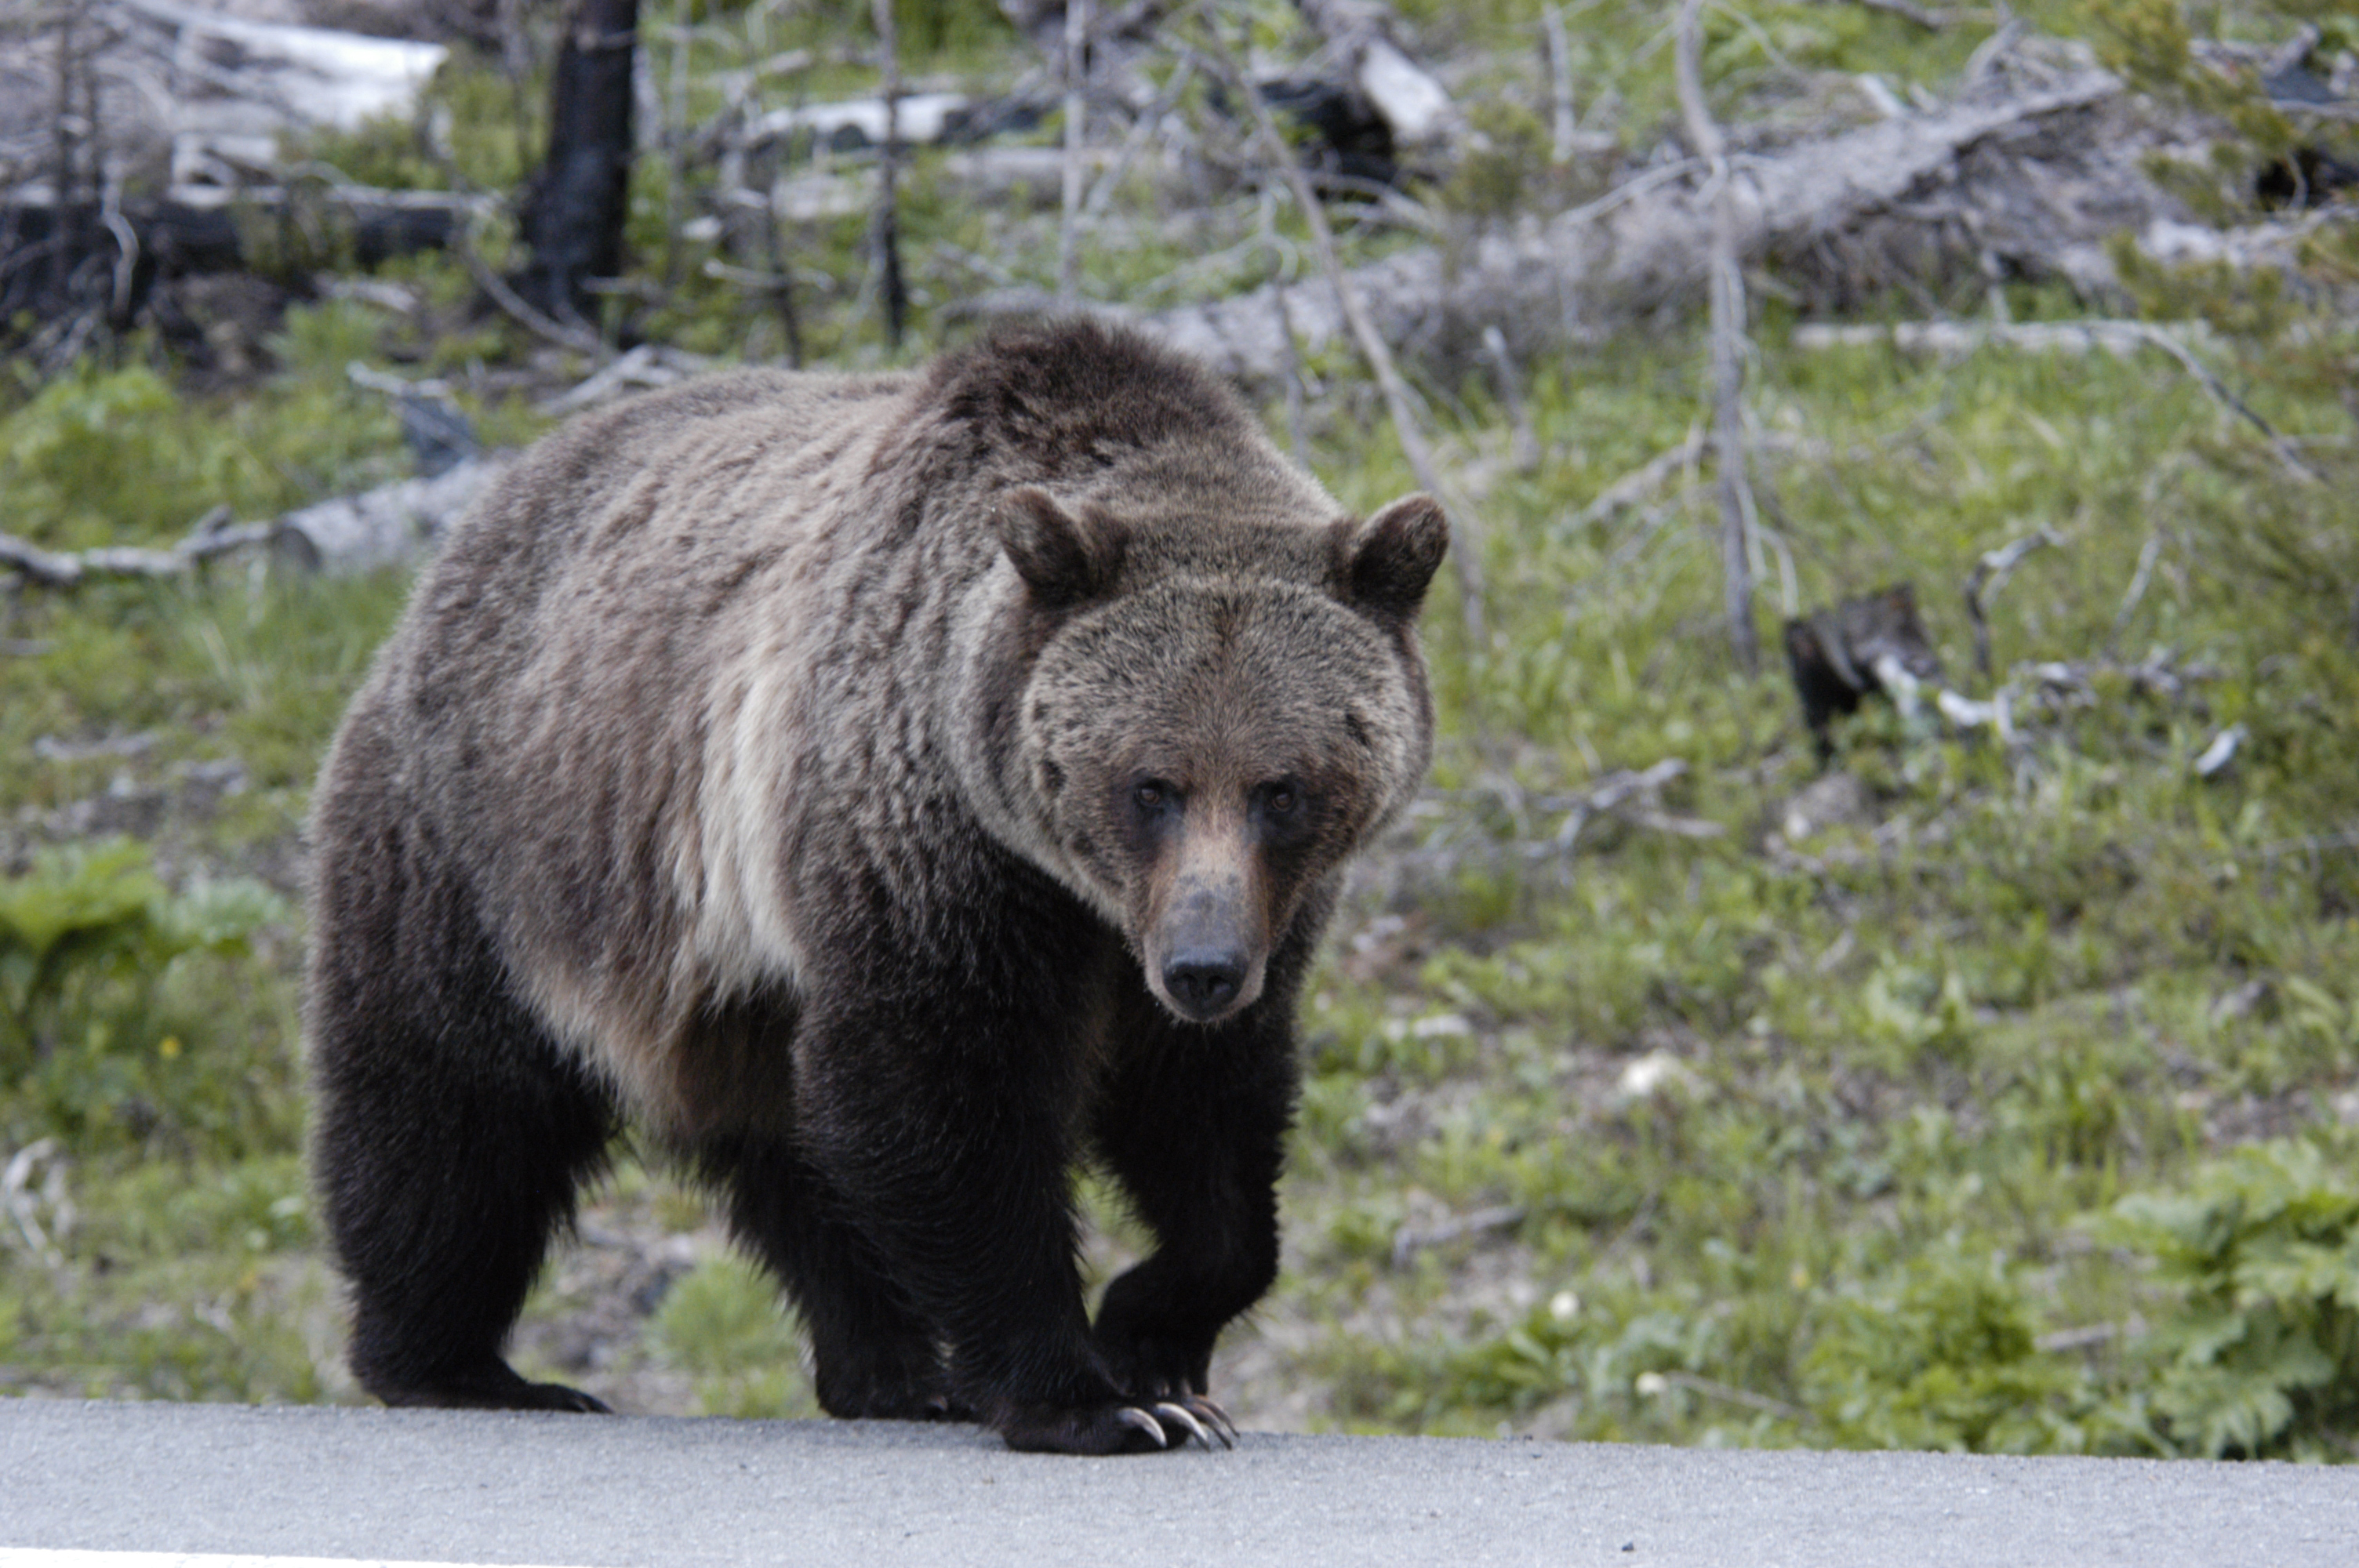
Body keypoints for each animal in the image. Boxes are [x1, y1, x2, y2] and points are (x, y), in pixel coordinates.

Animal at [304, 318, 1443, 1452]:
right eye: (1149, 784)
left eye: (1281, 789)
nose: (1202, 968)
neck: (1078, 892)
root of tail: (468, 532)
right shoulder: (933, 848)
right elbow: (936, 1088)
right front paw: (1092, 1398)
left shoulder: (1248, 918)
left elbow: (1208, 1117)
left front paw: (1157, 1346)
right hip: (481, 847)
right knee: (454, 1110)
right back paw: (458, 1365)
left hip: (727, 974)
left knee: (788, 1149)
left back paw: (892, 1372)